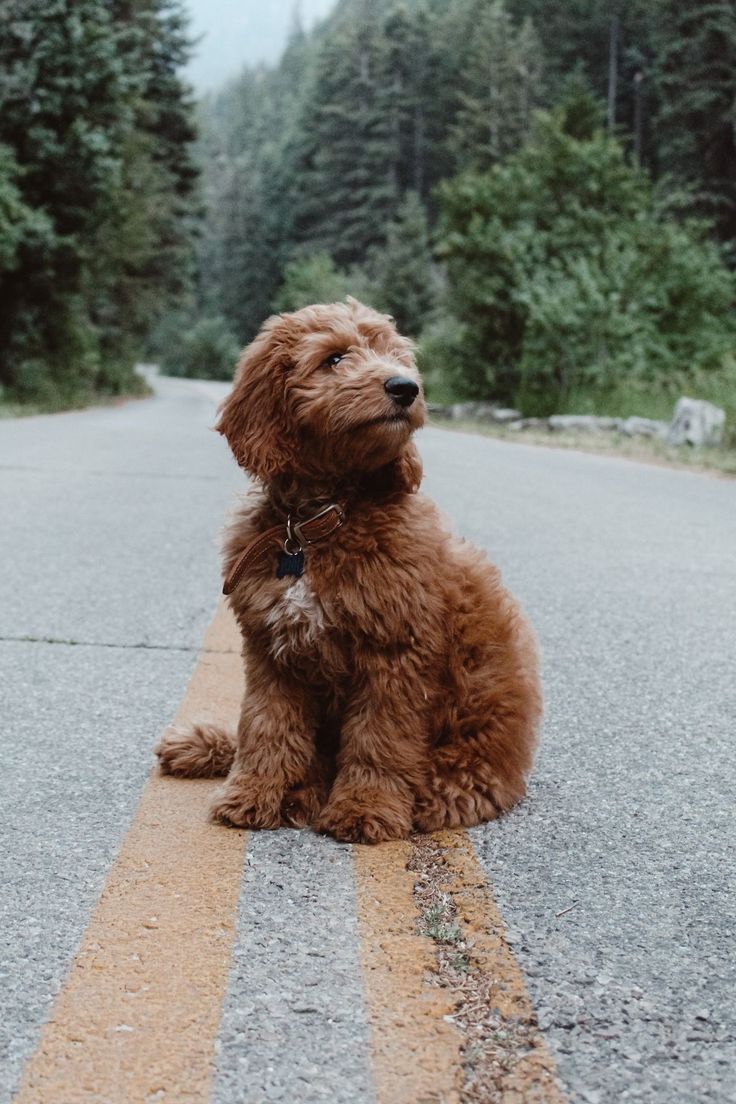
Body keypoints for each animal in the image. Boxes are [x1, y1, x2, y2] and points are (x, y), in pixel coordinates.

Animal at [156, 298, 540, 839]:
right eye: (334, 358)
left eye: (396, 356)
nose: (405, 387)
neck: (319, 522)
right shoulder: (271, 651)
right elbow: (265, 726)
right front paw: (251, 793)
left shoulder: (396, 653)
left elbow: (380, 738)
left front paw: (365, 807)